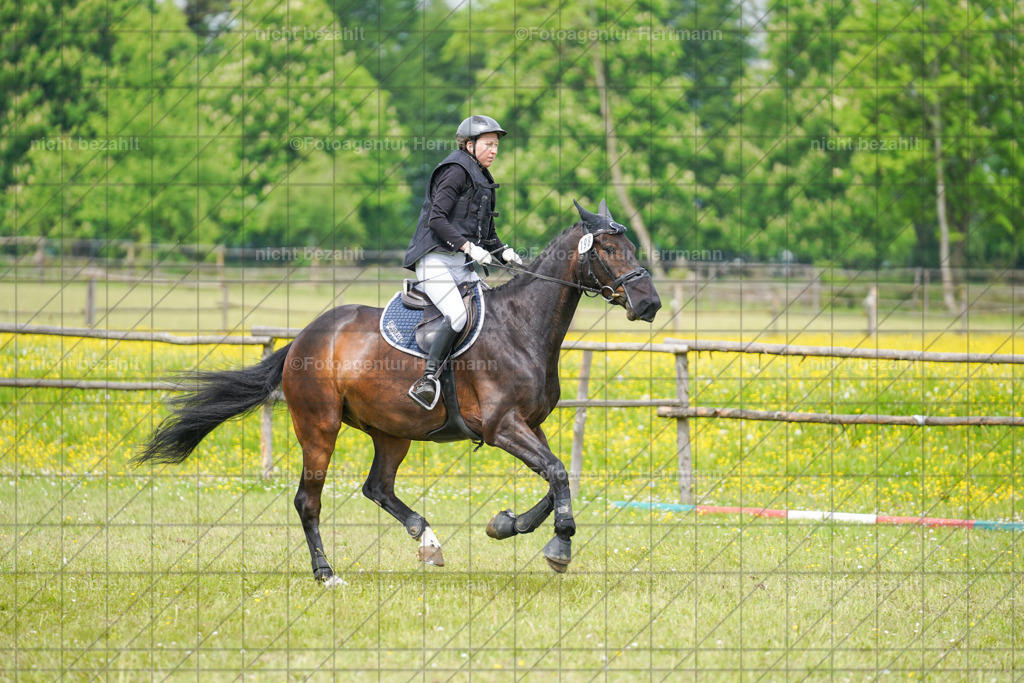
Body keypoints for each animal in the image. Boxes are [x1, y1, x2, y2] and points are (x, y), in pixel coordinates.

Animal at [136, 199, 661, 582]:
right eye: (609, 249)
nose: (649, 304)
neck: (522, 325)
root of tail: (304, 337)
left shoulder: (529, 425)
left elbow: (557, 481)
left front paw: (504, 525)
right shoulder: (502, 428)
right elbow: (556, 474)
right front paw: (560, 546)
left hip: (393, 431)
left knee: (378, 487)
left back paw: (426, 540)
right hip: (319, 427)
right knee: (309, 500)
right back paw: (326, 573)